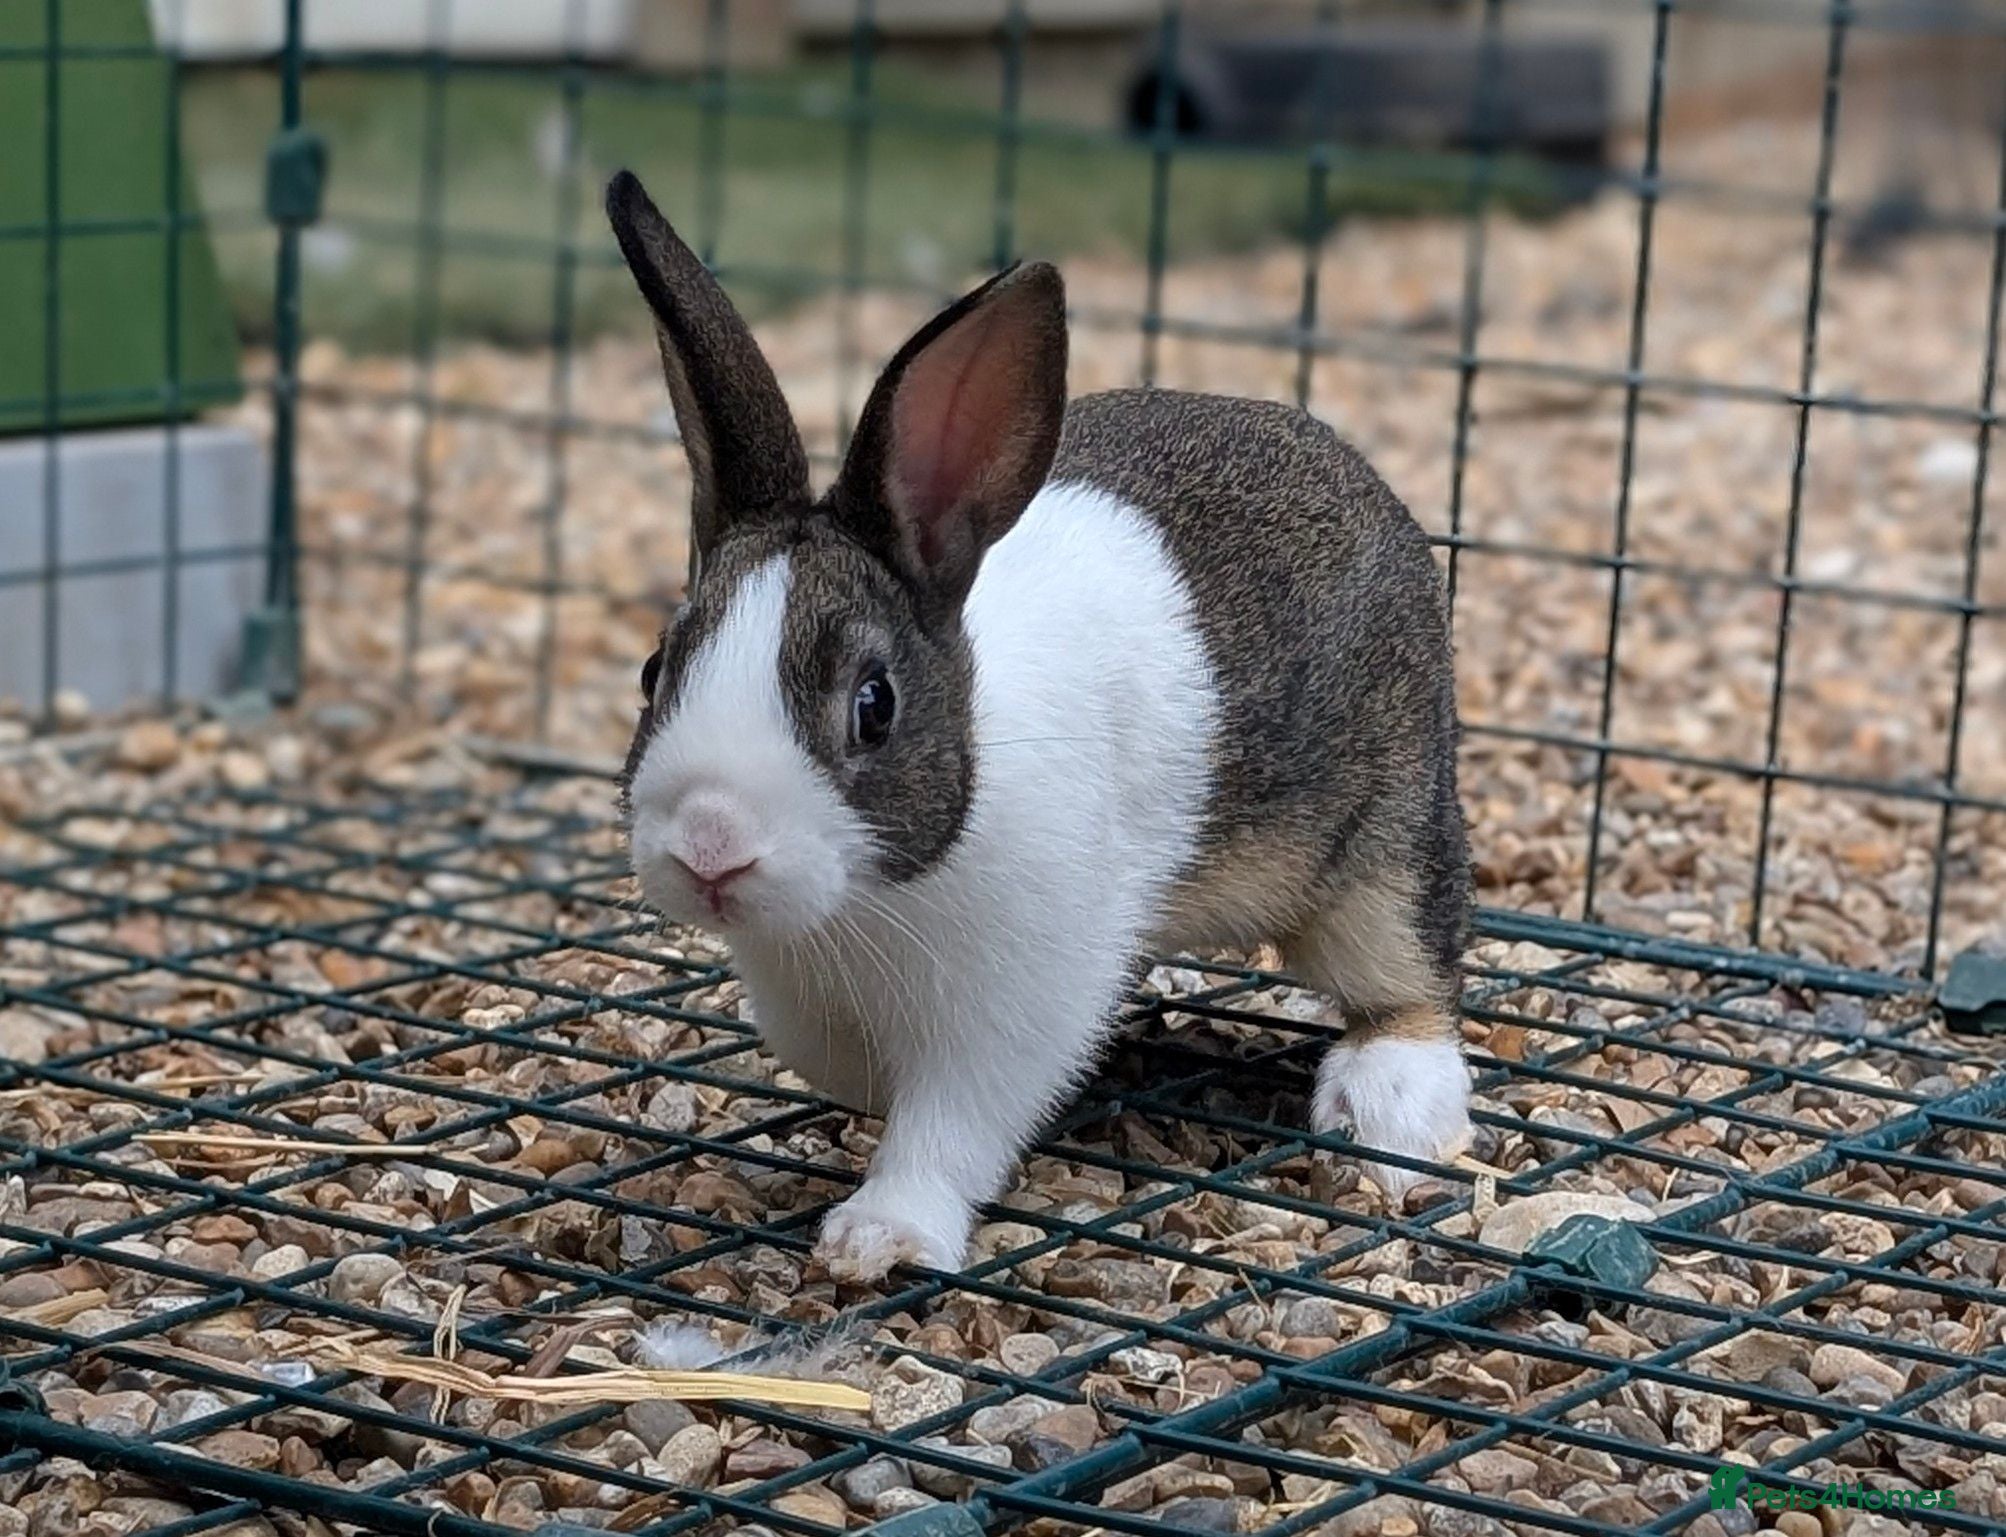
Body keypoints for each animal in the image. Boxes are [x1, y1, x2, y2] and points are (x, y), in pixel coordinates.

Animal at [607, 168, 1471, 1282]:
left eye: (873, 705)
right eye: (652, 672)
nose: (712, 846)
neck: (868, 900)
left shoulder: (1017, 1001)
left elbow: (949, 1129)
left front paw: (881, 1236)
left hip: (1386, 840)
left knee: (1407, 975)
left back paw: (1386, 1102)